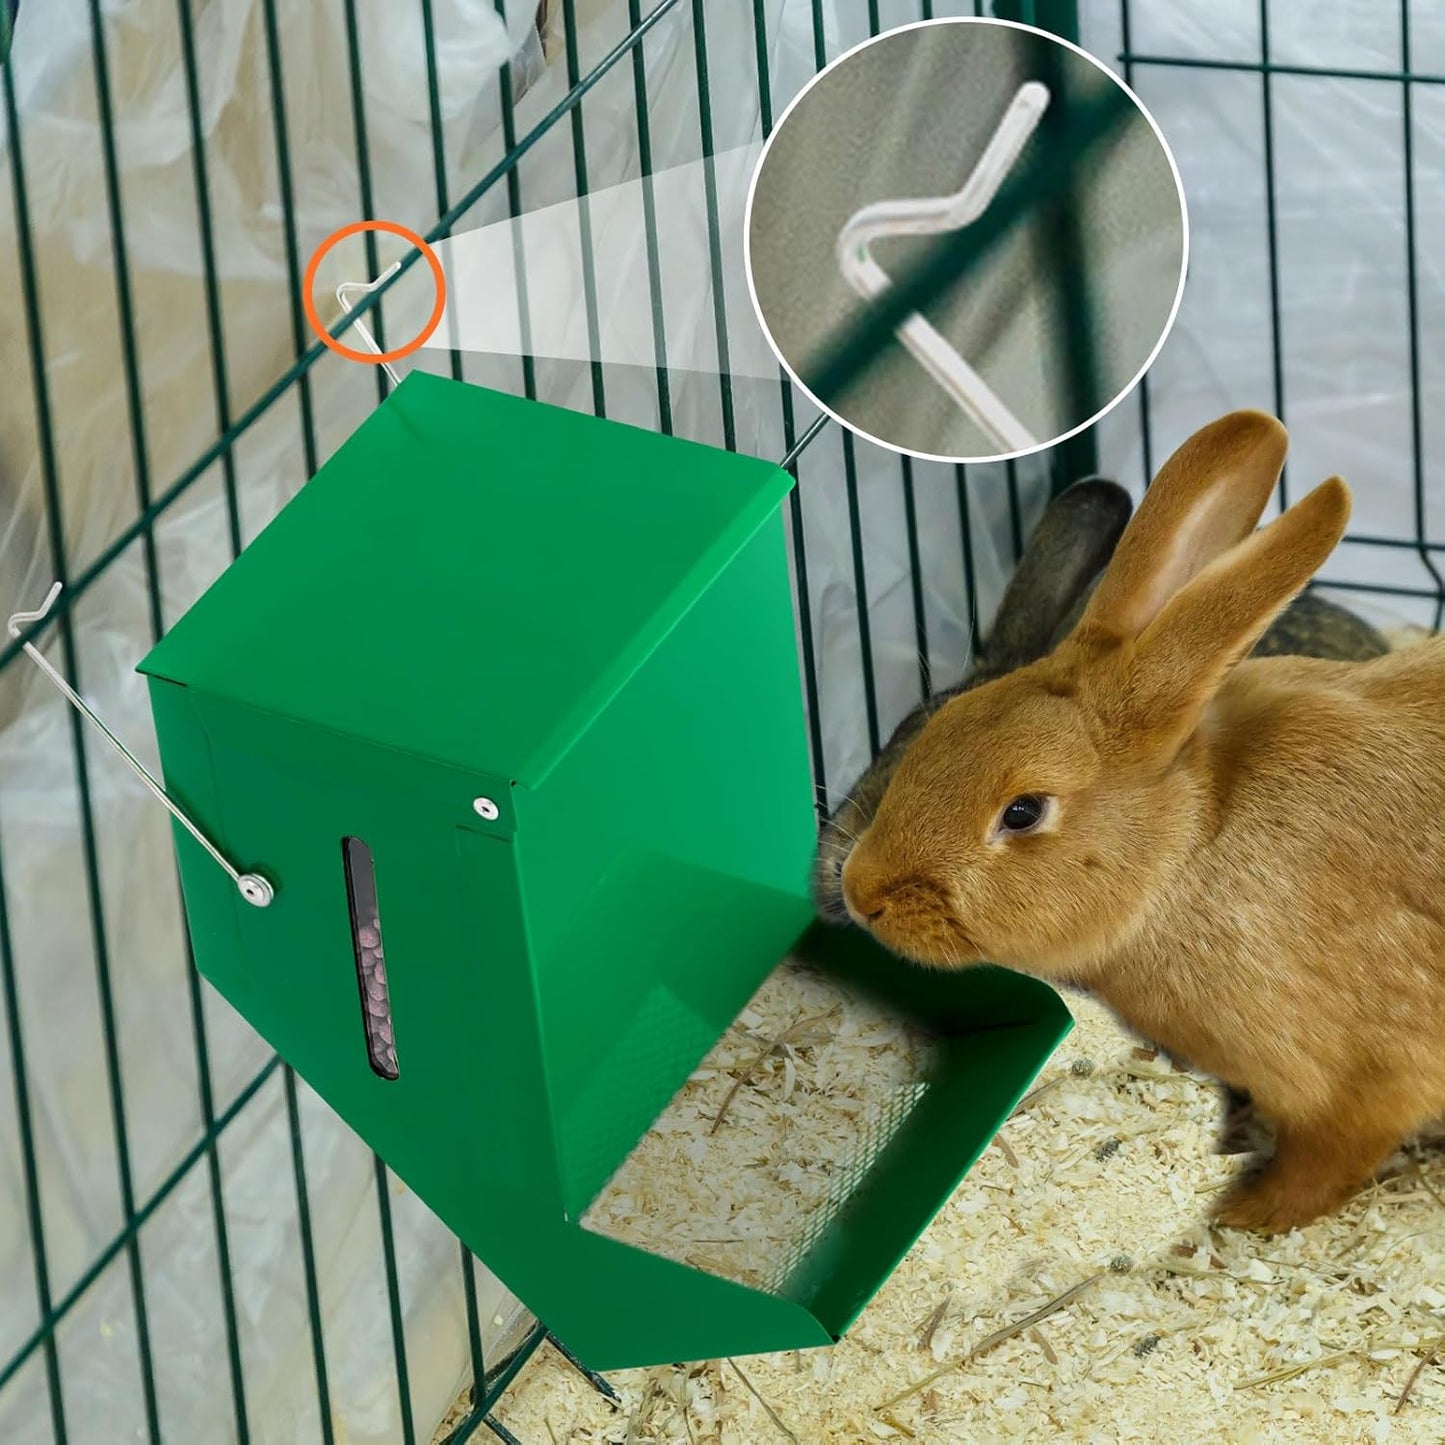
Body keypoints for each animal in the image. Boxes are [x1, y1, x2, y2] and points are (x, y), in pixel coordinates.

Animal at [837, 409, 1445, 1234]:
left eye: (1022, 812)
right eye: (932, 730)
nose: (858, 892)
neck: (1186, 847)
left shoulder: (1359, 1078)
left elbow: (1323, 1163)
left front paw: (1240, 1216)